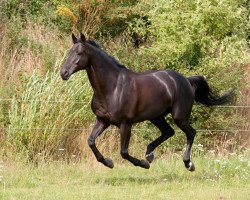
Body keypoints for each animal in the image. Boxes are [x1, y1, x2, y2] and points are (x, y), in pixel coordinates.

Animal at [60, 33, 232, 171]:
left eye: (80, 53)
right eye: (69, 52)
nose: (64, 72)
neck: (112, 87)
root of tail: (185, 80)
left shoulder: (126, 123)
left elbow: (124, 152)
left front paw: (143, 164)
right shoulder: (102, 120)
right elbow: (91, 141)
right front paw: (108, 162)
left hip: (179, 116)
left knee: (191, 133)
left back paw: (188, 164)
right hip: (156, 116)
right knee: (169, 132)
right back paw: (149, 153)